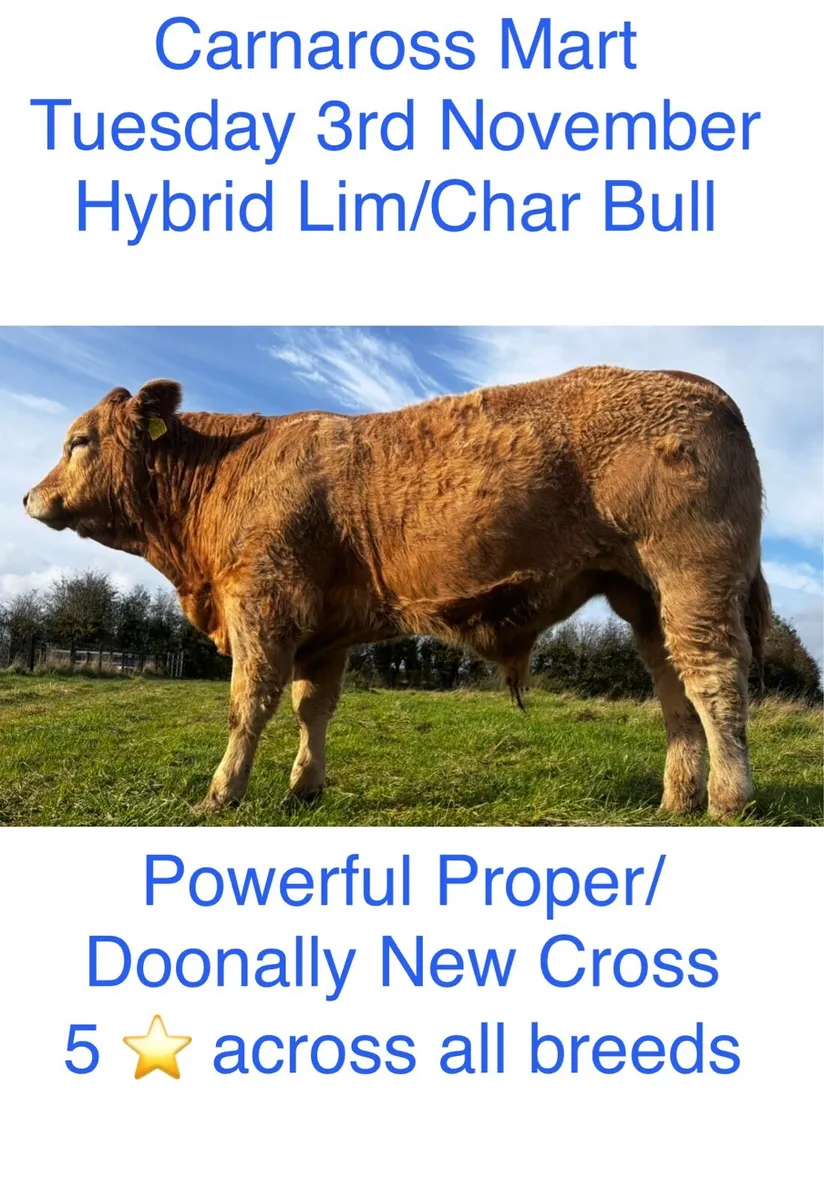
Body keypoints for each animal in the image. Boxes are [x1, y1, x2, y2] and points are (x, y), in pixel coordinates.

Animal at [24, 366, 770, 820]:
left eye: (79, 441)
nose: (30, 496)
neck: (227, 472)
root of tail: (710, 392)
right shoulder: (323, 633)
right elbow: (312, 710)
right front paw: (304, 789)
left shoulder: (262, 604)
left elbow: (248, 706)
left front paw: (220, 795)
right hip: (642, 596)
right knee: (673, 688)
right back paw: (676, 801)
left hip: (693, 576)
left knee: (713, 679)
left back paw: (728, 799)